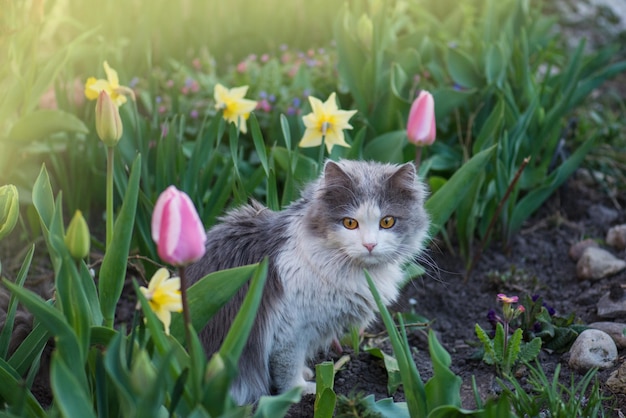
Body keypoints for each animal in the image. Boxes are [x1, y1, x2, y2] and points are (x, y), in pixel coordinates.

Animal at [185, 159, 428, 404]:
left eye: (387, 221)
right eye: (350, 223)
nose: (370, 245)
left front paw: (307, 375)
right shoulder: (290, 331)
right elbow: (288, 367)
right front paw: (299, 391)